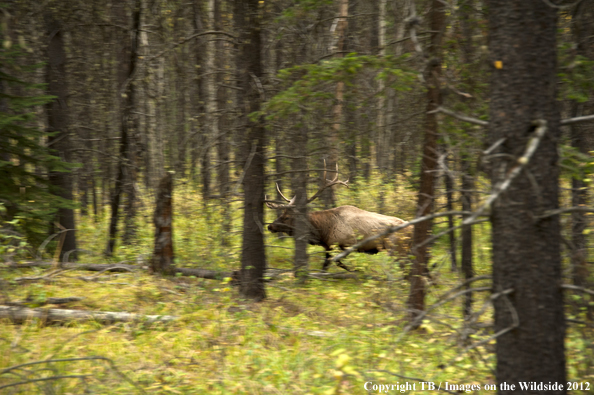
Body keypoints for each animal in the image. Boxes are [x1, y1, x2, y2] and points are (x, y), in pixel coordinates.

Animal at [264, 164, 412, 272]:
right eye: (281, 214)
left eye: (287, 217)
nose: (270, 226)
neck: (323, 232)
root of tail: (410, 228)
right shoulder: (328, 246)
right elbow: (327, 264)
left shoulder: (346, 244)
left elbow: (337, 262)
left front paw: (355, 272)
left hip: (395, 249)